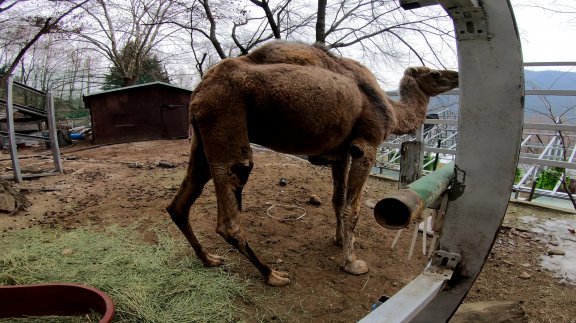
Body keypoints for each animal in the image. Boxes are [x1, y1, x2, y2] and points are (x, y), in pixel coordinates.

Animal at [166, 40, 460, 286]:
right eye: (434, 74)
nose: (457, 75)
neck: (393, 111)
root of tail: (199, 90)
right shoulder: (366, 145)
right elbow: (352, 208)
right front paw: (352, 263)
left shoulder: (341, 152)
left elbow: (337, 200)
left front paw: (339, 240)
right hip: (226, 118)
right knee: (228, 216)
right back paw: (272, 274)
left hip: (202, 137)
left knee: (179, 203)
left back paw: (209, 259)